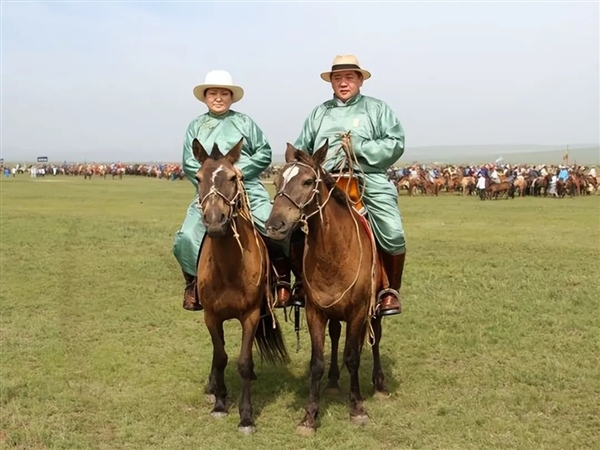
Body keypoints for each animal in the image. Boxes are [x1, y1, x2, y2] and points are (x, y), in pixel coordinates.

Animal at [190, 137, 288, 432]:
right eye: (198, 177)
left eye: (233, 177)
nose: (215, 221)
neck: (229, 269)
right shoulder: (211, 317)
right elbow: (221, 357)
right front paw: (220, 404)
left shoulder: (251, 315)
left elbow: (244, 362)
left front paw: (246, 416)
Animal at [266, 141, 390, 436]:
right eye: (277, 180)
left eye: (308, 181)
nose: (275, 226)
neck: (334, 252)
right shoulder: (316, 313)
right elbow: (317, 363)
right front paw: (309, 416)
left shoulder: (358, 312)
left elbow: (353, 358)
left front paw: (357, 409)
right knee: (335, 336)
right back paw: (333, 382)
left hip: (374, 309)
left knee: (375, 338)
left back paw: (379, 383)